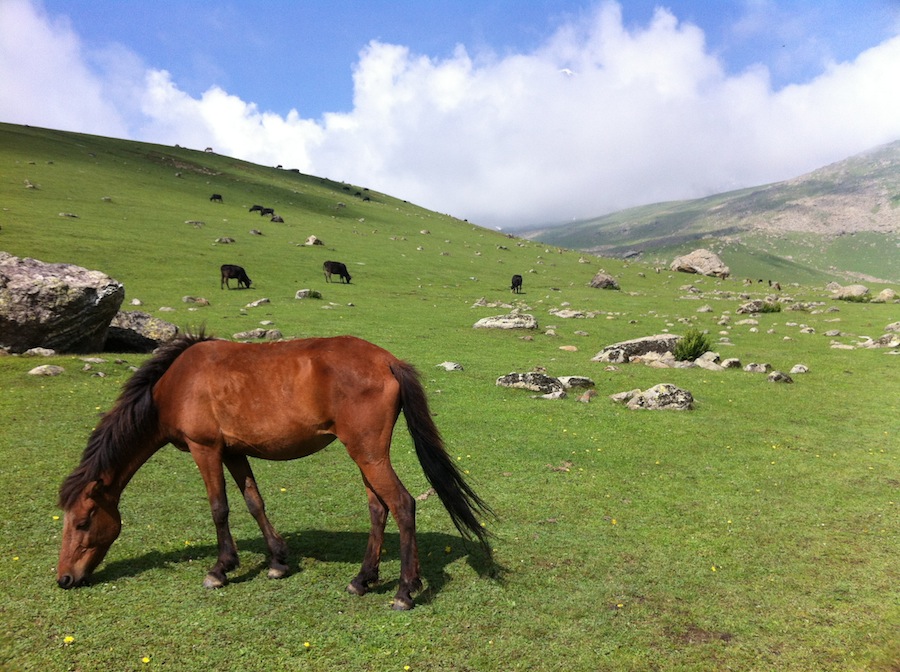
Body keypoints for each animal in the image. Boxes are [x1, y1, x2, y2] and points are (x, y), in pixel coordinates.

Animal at [56, 333, 492, 610]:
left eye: (83, 522)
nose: (64, 579)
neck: (177, 383)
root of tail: (388, 360)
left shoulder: (205, 449)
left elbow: (219, 508)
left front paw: (220, 569)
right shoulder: (234, 453)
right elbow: (254, 502)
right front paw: (278, 562)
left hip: (368, 454)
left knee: (402, 505)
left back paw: (404, 591)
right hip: (365, 456)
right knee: (378, 509)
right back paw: (362, 579)